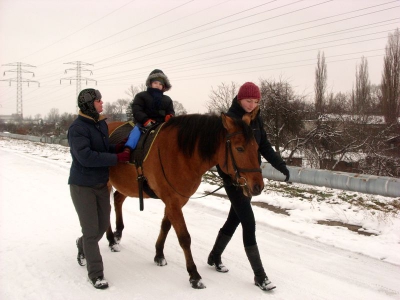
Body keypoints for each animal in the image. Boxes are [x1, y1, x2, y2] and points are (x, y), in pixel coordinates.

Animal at [106, 112, 264, 288]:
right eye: (239, 148)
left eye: (257, 148)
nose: (258, 186)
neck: (181, 155)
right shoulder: (173, 202)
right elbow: (184, 238)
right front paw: (194, 275)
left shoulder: (176, 201)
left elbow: (166, 226)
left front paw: (159, 254)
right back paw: (111, 240)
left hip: (128, 185)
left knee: (117, 200)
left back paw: (118, 233)